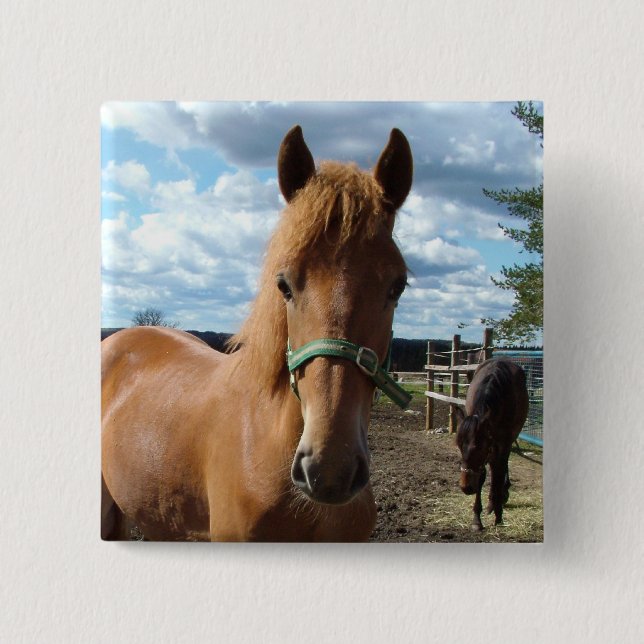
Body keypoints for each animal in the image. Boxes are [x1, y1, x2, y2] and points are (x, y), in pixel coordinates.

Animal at [454, 358, 528, 531]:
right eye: (459, 446)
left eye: (479, 447)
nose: (466, 487)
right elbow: (482, 476)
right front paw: (477, 519)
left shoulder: (502, 444)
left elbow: (498, 474)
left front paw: (498, 516)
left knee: (500, 468)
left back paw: (500, 497)